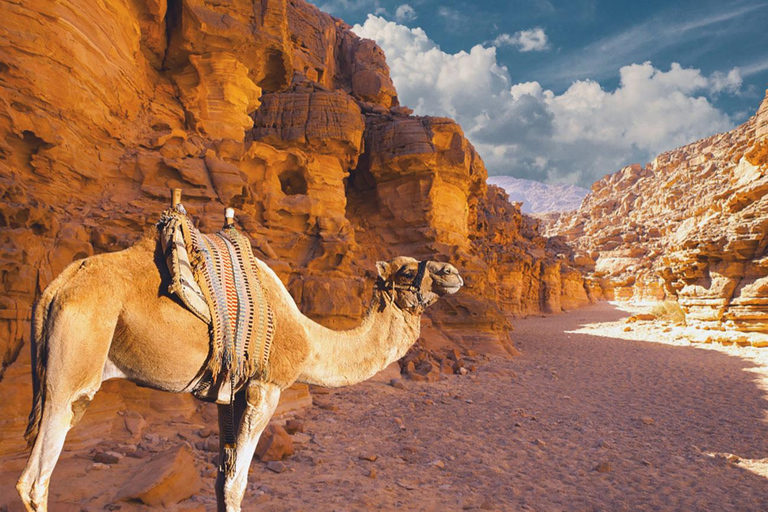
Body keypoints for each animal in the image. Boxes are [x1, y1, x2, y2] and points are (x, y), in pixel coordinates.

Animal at [16, 226, 462, 512]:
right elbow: (237, 484)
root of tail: (55, 289)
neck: (309, 340)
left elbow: (220, 480)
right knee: (34, 480)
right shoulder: (267, 387)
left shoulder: (228, 394)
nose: (451, 272)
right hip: (73, 367)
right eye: (408, 271)